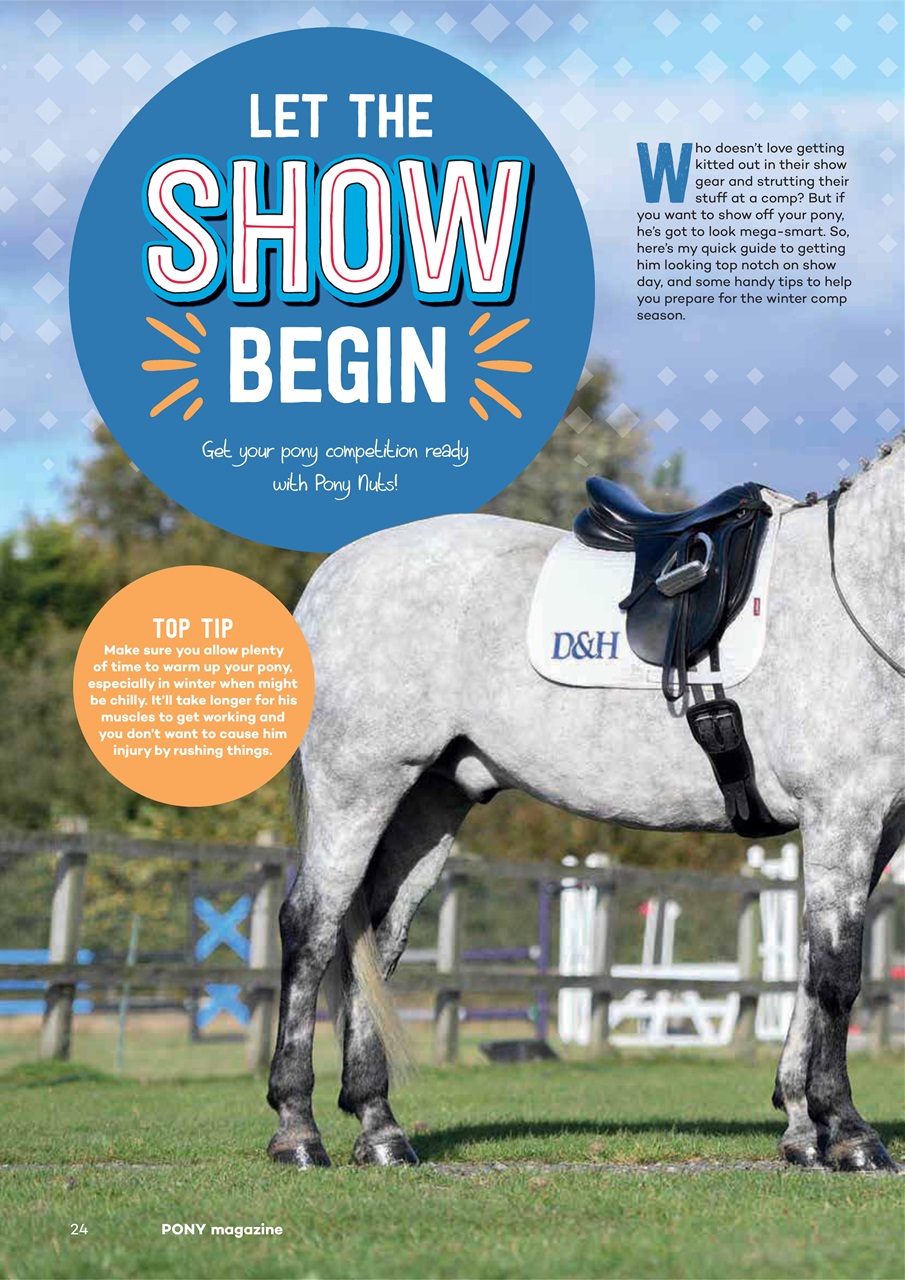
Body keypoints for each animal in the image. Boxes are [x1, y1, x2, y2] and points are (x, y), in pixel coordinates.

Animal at [266, 437, 904, 1172]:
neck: (862, 590)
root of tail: (333, 575)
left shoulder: (875, 830)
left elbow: (808, 967)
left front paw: (802, 1126)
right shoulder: (841, 816)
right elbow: (836, 975)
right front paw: (848, 1132)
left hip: (430, 802)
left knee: (379, 934)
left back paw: (379, 1128)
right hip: (357, 787)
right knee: (311, 928)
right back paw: (297, 1130)